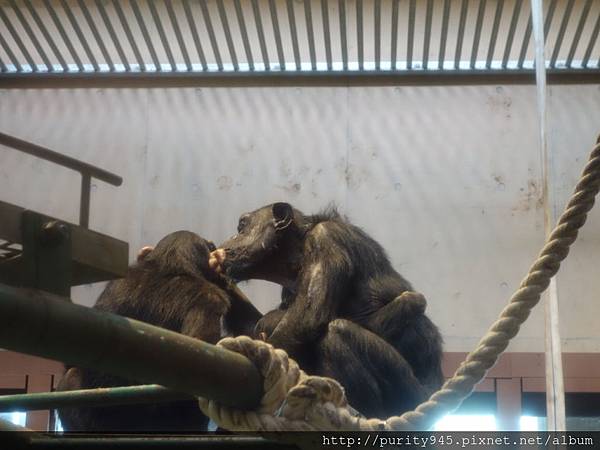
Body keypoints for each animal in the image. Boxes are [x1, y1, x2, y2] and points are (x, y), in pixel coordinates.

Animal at [217, 202, 446, 420]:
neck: (295, 254)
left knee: (336, 333)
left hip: (408, 393)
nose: (230, 238)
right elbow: (256, 325)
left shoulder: (326, 240)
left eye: (242, 226)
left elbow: (307, 319)